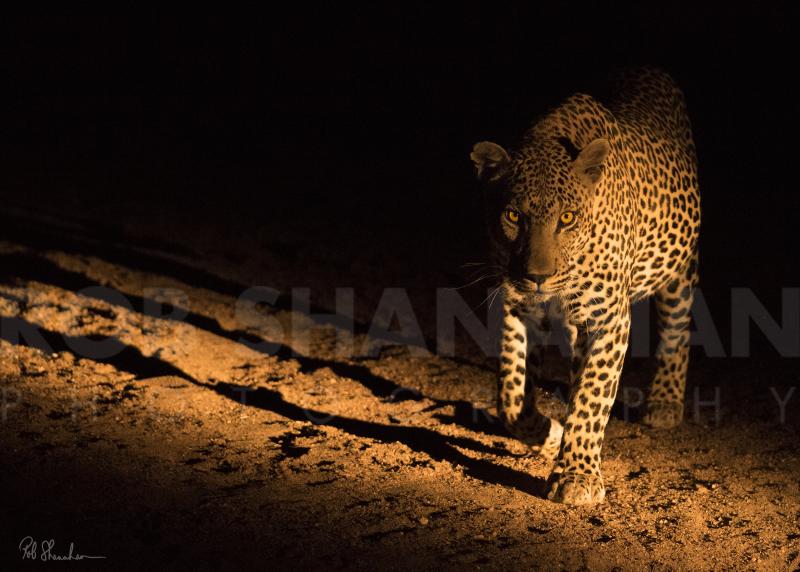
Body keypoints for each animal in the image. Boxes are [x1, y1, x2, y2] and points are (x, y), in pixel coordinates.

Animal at [470, 68, 700, 505]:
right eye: (513, 216)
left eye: (567, 218)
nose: (537, 276)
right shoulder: (517, 306)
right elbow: (511, 396)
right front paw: (548, 434)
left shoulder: (610, 317)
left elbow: (594, 396)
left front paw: (577, 476)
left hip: (680, 270)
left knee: (677, 327)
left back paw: (665, 401)